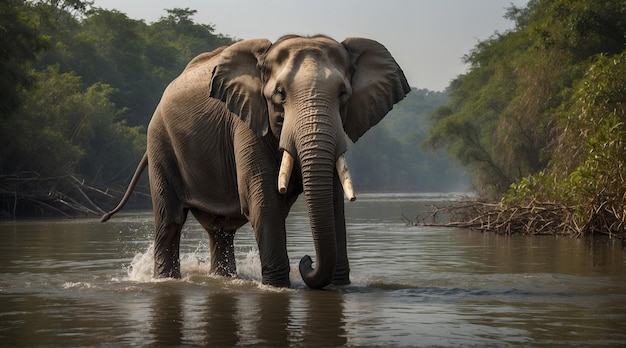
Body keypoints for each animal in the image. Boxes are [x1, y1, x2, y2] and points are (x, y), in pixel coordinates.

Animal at [101, 35, 410, 290]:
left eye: (343, 94)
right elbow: (263, 200)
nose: (306, 260)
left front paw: (339, 287)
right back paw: (166, 280)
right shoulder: (246, 122)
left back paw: (223, 279)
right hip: (160, 142)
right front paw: (277, 286)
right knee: (171, 220)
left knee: (220, 230)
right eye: (280, 94)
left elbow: (334, 203)